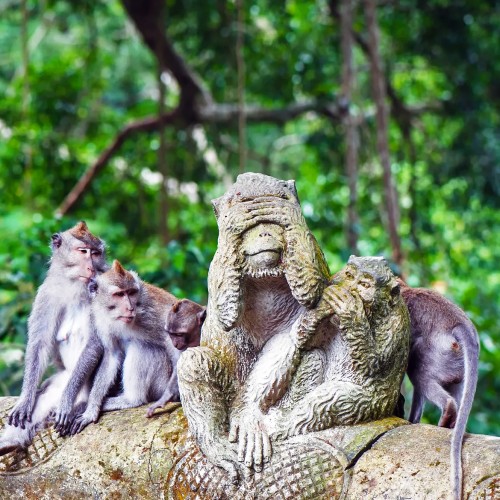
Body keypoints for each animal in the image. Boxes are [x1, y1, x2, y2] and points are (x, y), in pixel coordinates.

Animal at [0, 221, 105, 456]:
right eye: (83, 251)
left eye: (95, 253)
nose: (91, 267)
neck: (75, 287)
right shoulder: (46, 294)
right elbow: (39, 345)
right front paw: (25, 400)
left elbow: (94, 344)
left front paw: (65, 404)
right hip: (60, 379)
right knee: (43, 398)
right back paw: (10, 443)